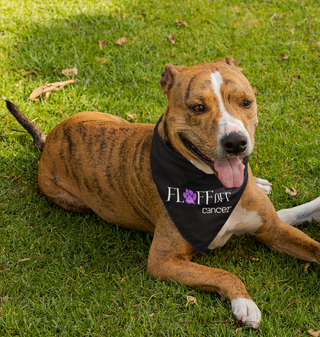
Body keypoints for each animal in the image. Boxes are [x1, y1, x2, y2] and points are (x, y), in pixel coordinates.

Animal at [4, 56, 320, 326]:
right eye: (197, 107)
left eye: (246, 102)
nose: (236, 142)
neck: (214, 189)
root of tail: (50, 139)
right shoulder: (163, 260)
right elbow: (223, 273)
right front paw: (244, 302)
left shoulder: (273, 230)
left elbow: (313, 246)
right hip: (71, 200)